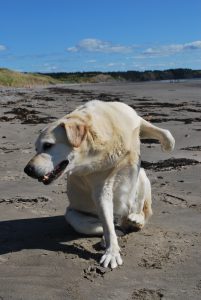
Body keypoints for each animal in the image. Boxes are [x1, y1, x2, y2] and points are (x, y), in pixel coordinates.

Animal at [24, 99, 174, 268]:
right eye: (36, 148)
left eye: (48, 145)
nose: (27, 170)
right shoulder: (101, 189)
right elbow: (108, 227)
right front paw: (112, 252)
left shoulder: (135, 120)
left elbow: (162, 131)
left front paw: (168, 144)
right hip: (74, 216)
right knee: (108, 226)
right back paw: (110, 237)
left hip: (142, 176)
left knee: (142, 212)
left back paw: (135, 219)